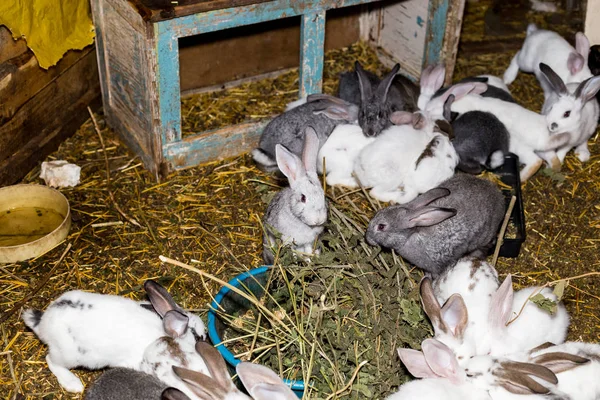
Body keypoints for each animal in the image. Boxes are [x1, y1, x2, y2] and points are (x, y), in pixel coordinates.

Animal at [262, 126, 328, 264]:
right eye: (303, 198)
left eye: (323, 195)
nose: (319, 219)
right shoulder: (288, 241)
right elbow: (292, 252)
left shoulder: (309, 242)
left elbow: (308, 250)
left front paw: (310, 261)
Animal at [426, 81, 572, 181]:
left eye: (431, 110)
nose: (426, 112)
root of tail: (543, 137)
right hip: (542, 150)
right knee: (553, 159)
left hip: (521, 150)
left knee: (535, 162)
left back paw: (522, 178)